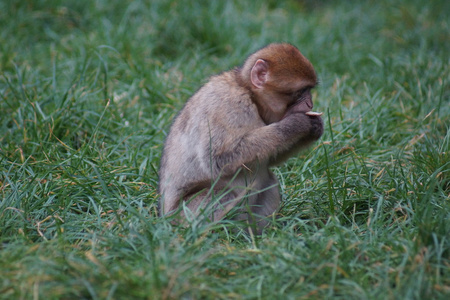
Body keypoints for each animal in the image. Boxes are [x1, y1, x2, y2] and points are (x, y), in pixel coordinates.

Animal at [158, 42, 324, 234]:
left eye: (309, 90)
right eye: (301, 91)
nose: (310, 104)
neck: (248, 91)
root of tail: (165, 220)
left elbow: (268, 159)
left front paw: (315, 127)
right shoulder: (229, 105)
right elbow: (217, 159)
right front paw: (297, 124)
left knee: (269, 182)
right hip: (185, 214)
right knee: (223, 195)